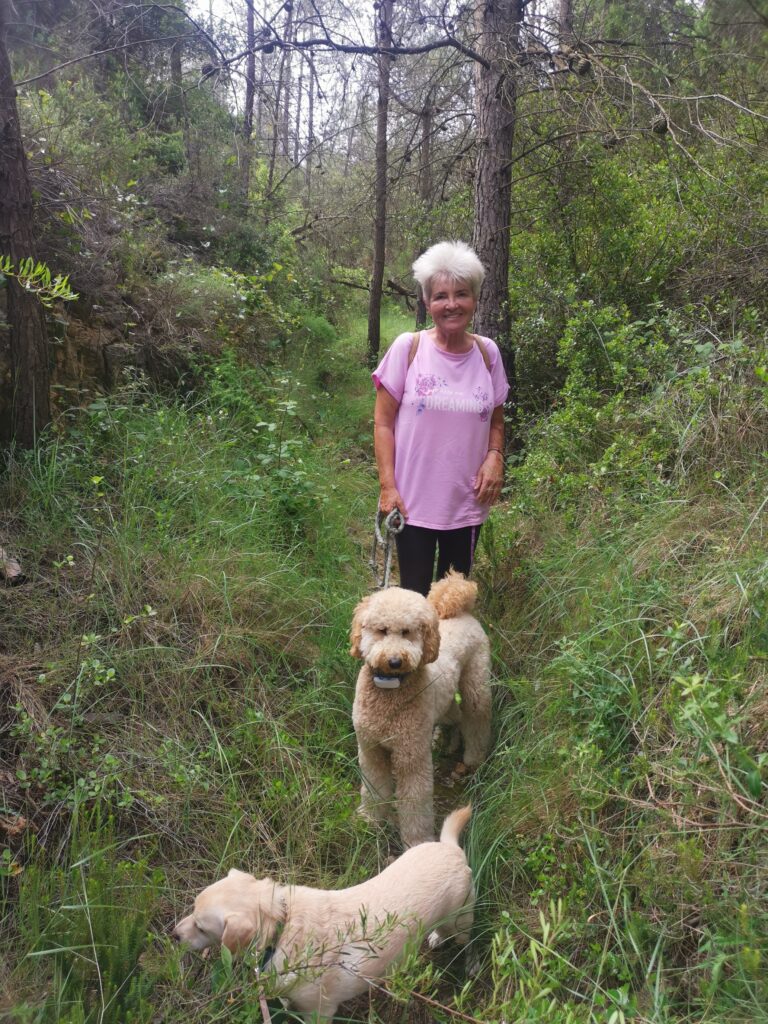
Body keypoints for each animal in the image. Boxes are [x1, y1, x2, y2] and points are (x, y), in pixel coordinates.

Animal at [173, 806, 475, 1022]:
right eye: (192, 909)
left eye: (201, 927)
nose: (173, 935)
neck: (282, 927)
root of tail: (450, 848)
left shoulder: (320, 1012)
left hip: (461, 922)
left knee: (468, 941)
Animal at [350, 572, 491, 847]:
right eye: (382, 630)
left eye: (407, 632)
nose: (395, 661)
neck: (390, 690)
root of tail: (462, 612)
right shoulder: (371, 749)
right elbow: (374, 788)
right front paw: (370, 820)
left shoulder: (412, 756)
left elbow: (415, 800)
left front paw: (417, 842)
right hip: (444, 701)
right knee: (456, 716)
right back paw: (449, 741)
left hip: (476, 687)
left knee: (477, 721)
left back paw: (474, 757)